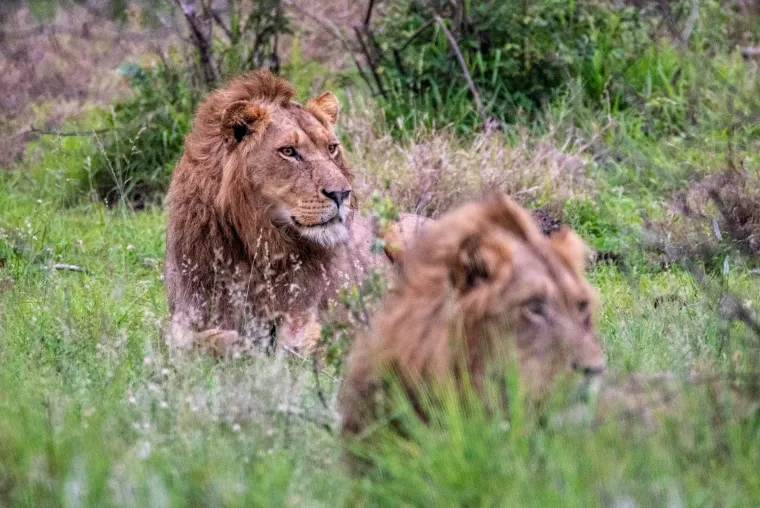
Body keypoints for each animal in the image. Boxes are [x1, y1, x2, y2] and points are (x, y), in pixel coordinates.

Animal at [164, 70, 424, 354]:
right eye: (288, 151)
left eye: (331, 148)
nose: (342, 194)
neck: (255, 244)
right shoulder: (186, 312)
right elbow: (182, 344)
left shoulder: (305, 317)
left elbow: (294, 347)